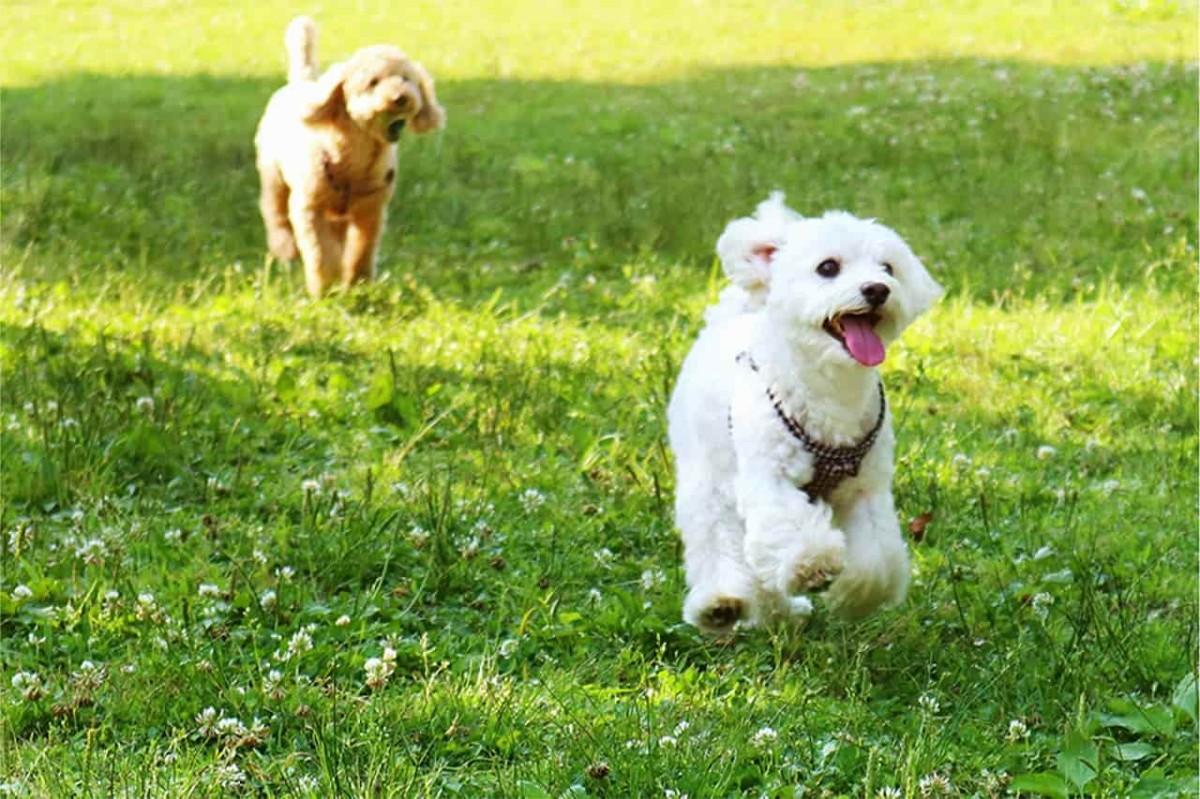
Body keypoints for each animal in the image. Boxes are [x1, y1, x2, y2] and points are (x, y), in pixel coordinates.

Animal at [254, 15, 446, 295]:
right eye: (373, 82)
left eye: (406, 79)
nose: (401, 98)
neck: (355, 161)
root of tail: (301, 83)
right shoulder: (309, 208)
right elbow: (321, 253)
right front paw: (326, 287)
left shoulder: (370, 211)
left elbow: (361, 251)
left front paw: (358, 283)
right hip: (273, 173)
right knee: (274, 209)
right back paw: (285, 247)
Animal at [672, 191, 940, 628]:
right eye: (828, 267)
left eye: (888, 268)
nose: (877, 289)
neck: (830, 390)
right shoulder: (770, 477)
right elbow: (786, 525)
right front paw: (813, 563)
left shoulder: (866, 487)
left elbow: (877, 554)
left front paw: (855, 595)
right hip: (707, 471)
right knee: (714, 535)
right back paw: (721, 601)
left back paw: (779, 612)